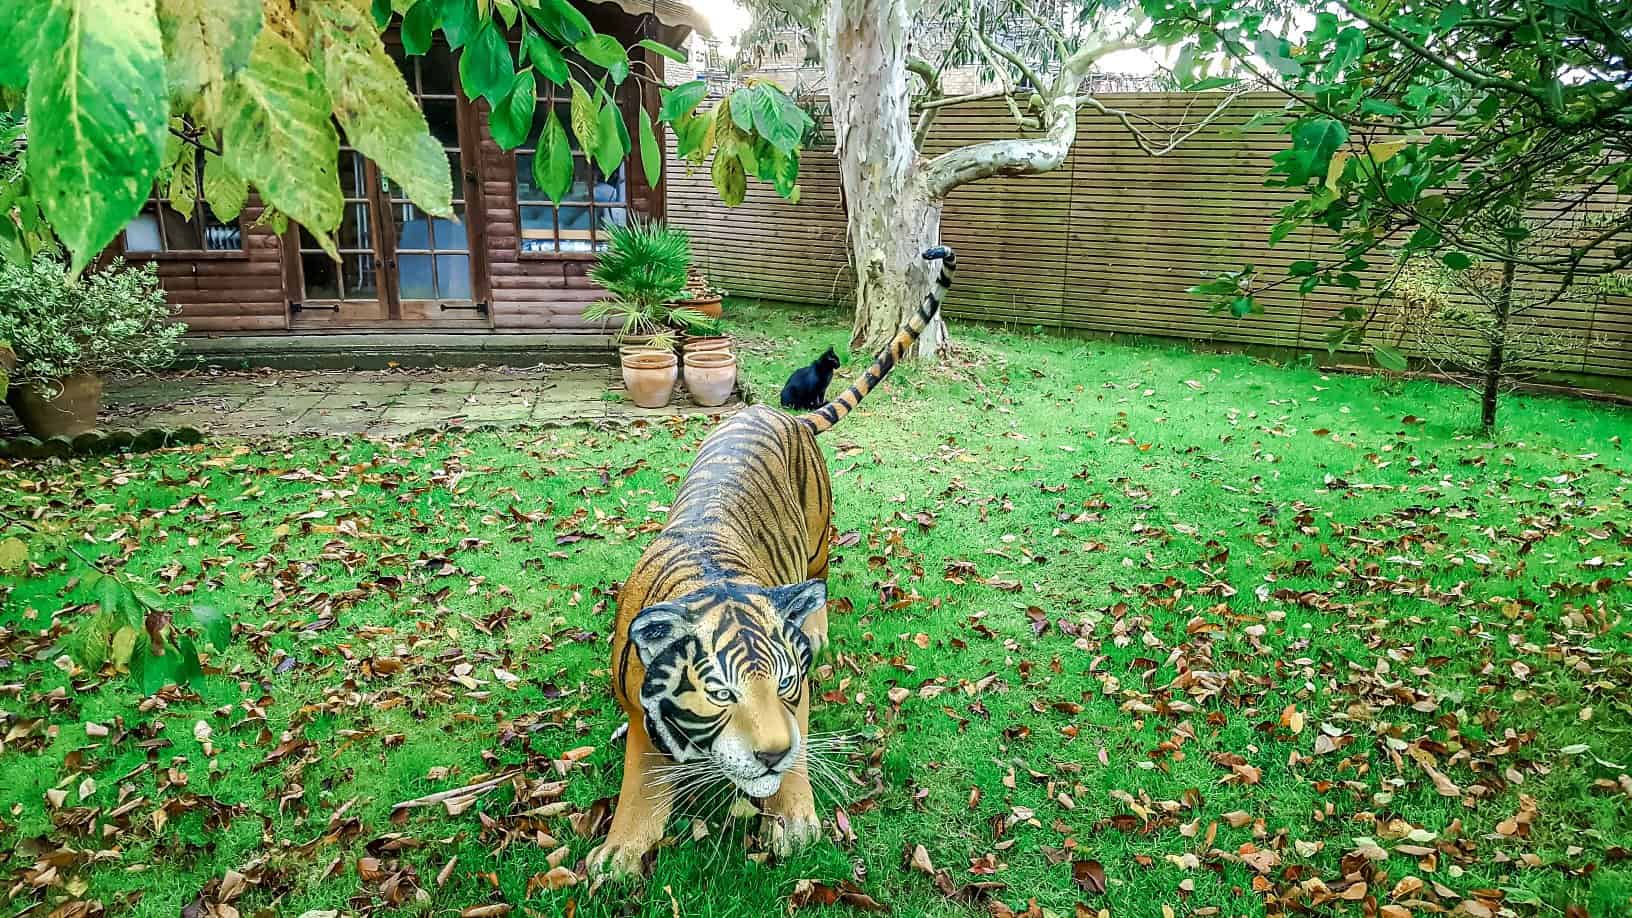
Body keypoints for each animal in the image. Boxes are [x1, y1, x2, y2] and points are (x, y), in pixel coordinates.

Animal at [588, 246, 958, 880]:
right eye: (719, 693)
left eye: (786, 683)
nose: (772, 754)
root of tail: (784, 415)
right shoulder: (642, 714)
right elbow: (640, 783)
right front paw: (620, 852)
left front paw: (794, 819)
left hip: (817, 539)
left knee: (822, 578)